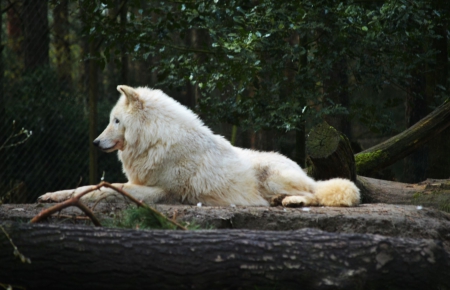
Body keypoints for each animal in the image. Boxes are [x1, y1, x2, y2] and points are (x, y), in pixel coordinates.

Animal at [39, 85, 362, 207]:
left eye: (116, 121)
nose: (95, 142)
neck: (156, 140)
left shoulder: (159, 190)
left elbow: (103, 189)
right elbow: (89, 186)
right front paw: (53, 195)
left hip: (272, 176)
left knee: (319, 194)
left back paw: (292, 201)